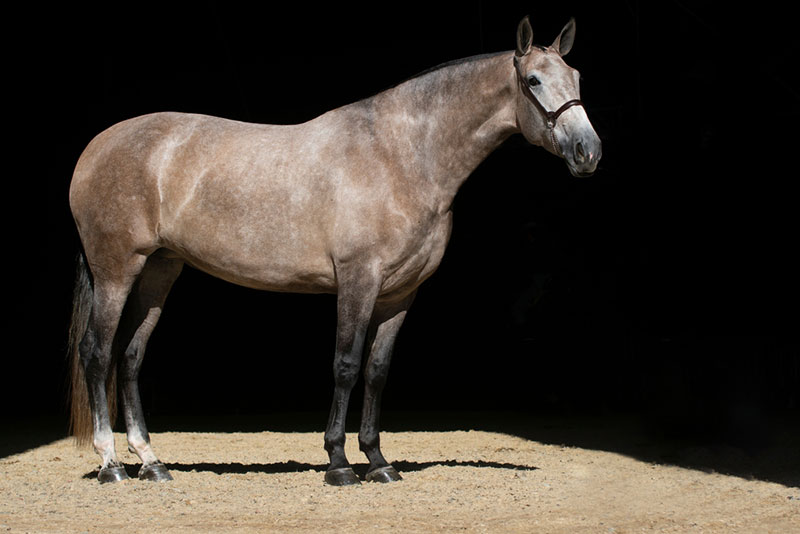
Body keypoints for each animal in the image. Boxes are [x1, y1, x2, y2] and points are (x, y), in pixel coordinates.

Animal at [67, 15, 601, 486]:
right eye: (533, 80)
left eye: (575, 76)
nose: (588, 151)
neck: (399, 156)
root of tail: (96, 146)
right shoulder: (358, 280)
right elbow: (345, 366)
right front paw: (340, 464)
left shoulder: (400, 294)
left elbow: (377, 371)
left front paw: (379, 462)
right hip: (117, 270)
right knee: (97, 352)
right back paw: (111, 464)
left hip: (159, 271)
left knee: (130, 357)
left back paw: (151, 462)